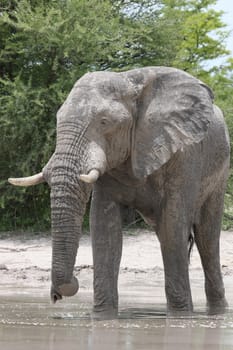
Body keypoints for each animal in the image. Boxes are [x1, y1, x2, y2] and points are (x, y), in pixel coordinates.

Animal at [8, 65, 229, 318]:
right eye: (58, 119)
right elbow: (105, 229)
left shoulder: (183, 156)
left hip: (220, 171)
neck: (128, 80)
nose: (58, 295)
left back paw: (217, 312)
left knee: (206, 237)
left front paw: (180, 317)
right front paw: (103, 318)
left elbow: (174, 225)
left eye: (104, 122)